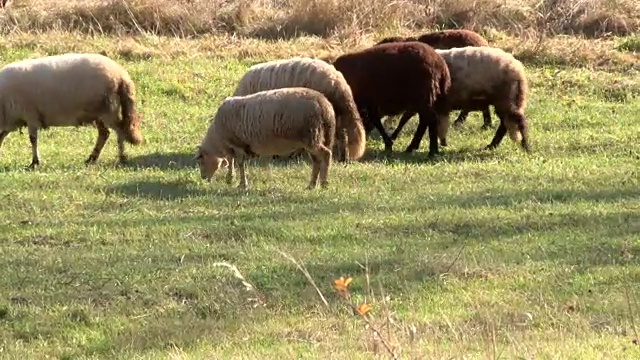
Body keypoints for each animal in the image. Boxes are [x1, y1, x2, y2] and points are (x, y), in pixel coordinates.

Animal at [0, 52, 144, 168]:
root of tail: (122, 75)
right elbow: (2, 137)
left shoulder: (31, 115)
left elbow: (33, 139)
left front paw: (35, 162)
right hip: (99, 112)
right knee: (105, 133)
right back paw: (92, 158)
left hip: (108, 109)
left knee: (119, 131)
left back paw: (122, 157)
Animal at [194, 86, 336, 191]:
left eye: (201, 161)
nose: (203, 178)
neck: (218, 139)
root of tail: (324, 104)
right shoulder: (233, 146)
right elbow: (231, 161)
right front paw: (230, 178)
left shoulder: (237, 144)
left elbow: (240, 163)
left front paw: (242, 184)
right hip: (315, 137)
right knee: (317, 161)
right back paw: (311, 185)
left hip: (311, 136)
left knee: (326, 154)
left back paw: (324, 183)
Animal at [390, 45, 528, 152]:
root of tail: (518, 68)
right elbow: (415, 121)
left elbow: (414, 122)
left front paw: (408, 145)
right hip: (505, 99)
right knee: (506, 123)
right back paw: (492, 145)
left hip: (507, 97)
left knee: (518, 120)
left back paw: (525, 146)